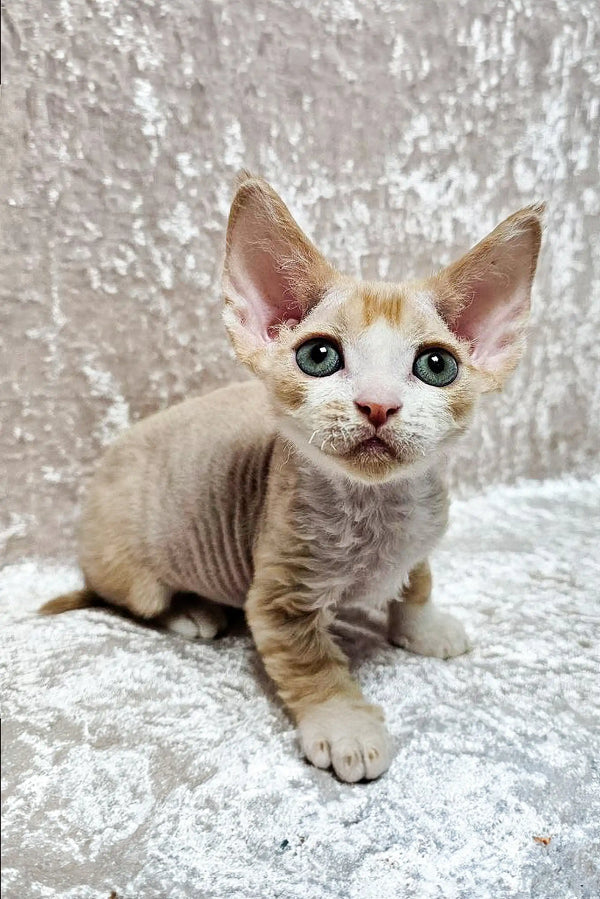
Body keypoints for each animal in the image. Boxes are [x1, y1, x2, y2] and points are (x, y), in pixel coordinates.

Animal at [43, 174, 544, 780]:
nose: (377, 405)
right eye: (319, 356)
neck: (379, 509)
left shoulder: (422, 533)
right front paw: (345, 725)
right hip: (132, 572)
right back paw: (192, 612)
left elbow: (417, 581)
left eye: (436, 365)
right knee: (129, 599)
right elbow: (312, 665)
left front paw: (424, 627)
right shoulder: (280, 595)